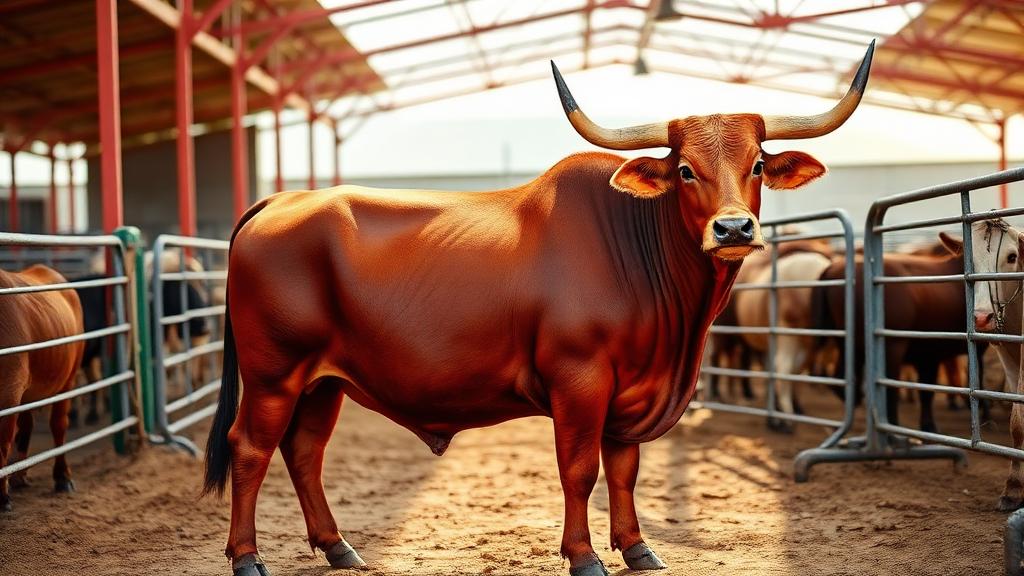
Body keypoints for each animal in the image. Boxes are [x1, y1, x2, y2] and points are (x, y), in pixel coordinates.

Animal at [0, 265, 85, 511]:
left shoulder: (9, 392)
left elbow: (2, 443)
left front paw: (2, 498)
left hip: (67, 379)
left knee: (59, 426)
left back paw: (63, 477)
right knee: (26, 426)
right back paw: (20, 475)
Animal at [202, 44, 875, 576]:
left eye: (757, 163)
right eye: (685, 170)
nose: (734, 228)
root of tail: (280, 201)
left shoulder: (630, 392)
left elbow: (624, 469)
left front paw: (638, 549)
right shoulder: (579, 380)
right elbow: (579, 470)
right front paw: (584, 557)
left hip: (323, 382)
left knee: (304, 451)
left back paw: (338, 547)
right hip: (274, 374)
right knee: (250, 449)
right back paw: (247, 558)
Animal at [942, 219, 1024, 510]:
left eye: (1011, 257)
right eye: (969, 261)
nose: (981, 317)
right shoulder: (1010, 357)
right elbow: (1018, 420)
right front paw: (1014, 489)